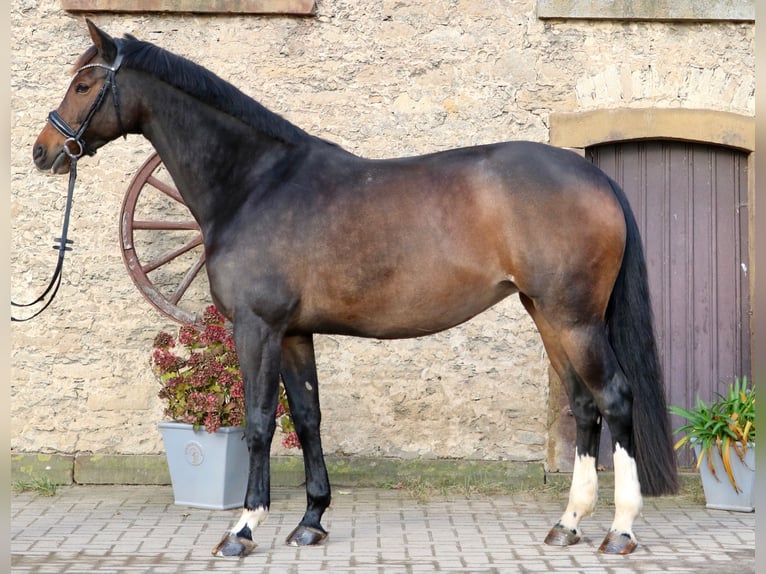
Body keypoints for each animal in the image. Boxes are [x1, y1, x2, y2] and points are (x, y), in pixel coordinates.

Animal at [33, 21, 680, 560]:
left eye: (85, 84)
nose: (44, 151)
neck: (256, 183)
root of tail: (595, 178)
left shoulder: (257, 327)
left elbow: (260, 421)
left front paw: (243, 529)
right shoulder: (294, 333)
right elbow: (308, 418)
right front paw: (311, 521)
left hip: (575, 318)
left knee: (615, 398)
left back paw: (620, 531)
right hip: (547, 315)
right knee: (583, 405)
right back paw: (568, 524)